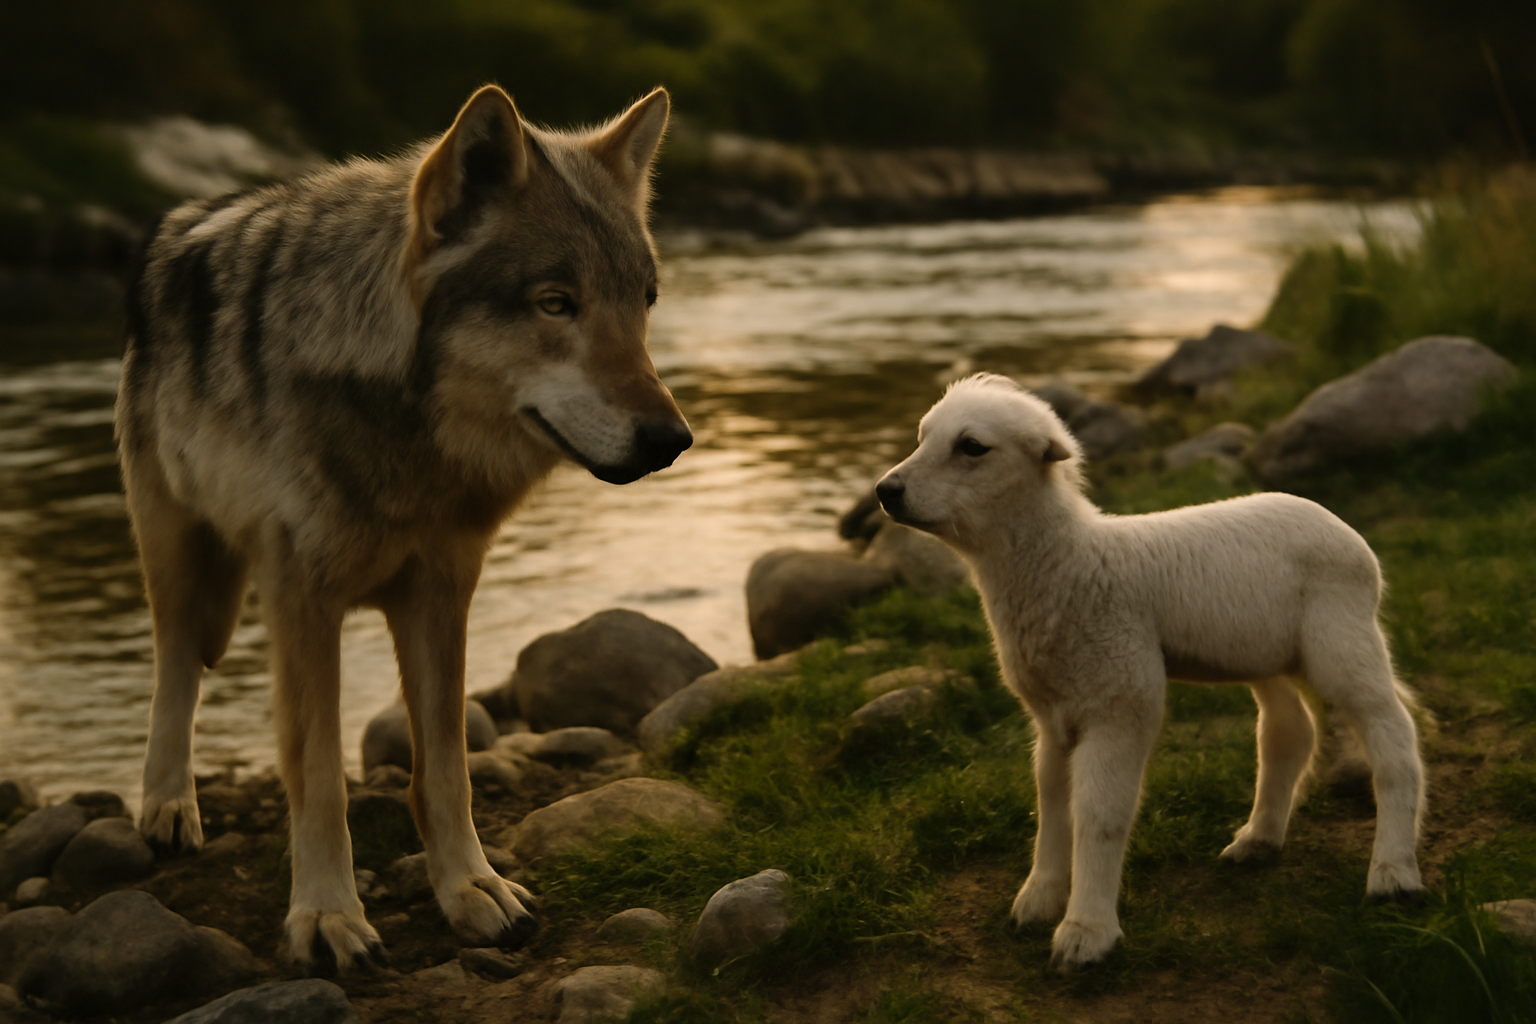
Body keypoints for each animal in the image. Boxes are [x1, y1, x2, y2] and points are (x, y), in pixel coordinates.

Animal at [116, 84, 691, 973]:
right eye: (555, 303)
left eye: (644, 303)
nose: (672, 439)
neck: (413, 446)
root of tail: (180, 218)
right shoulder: (303, 602)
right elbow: (317, 775)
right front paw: (326, 917)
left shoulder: (442, 591)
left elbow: (445, 767)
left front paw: (471, 889)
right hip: (179, 558)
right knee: (176, 667)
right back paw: (169, 808)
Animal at [876, 374, 1423, 969]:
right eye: (923, 436)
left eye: (972, 447)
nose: (886, 491)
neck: (1068, 565)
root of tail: (1340, 525)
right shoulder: (1053, 715)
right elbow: (1052, 804)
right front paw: (1039, 898)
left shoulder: (1120, 701)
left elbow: (1100, 813)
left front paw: (1086, 931)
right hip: (1263, 651)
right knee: (1288, 731)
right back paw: (1258, 839)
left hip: (1341, 636)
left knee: (1393, 733)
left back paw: (1394, 872)